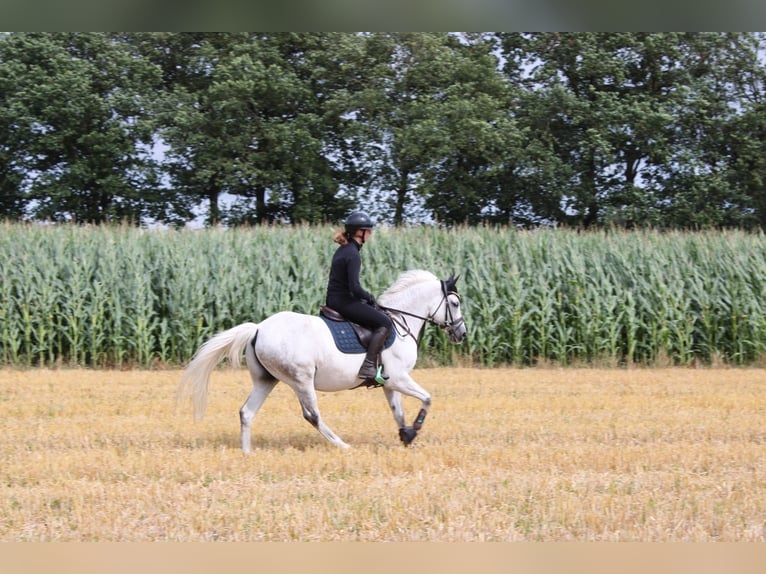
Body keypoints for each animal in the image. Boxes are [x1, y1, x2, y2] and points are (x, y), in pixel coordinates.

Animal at [178, 270, 467, 451]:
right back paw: (342, 445)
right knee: (312, 415)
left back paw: (246, 453)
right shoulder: (398, 378)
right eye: (454, 303)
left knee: (247, 412)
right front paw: (414, 431)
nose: (462, 334)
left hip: (265, 380)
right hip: (302, 379)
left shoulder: (389, 382)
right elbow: (427, 398)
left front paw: (407, 437)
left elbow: (398, 412)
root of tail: (258, 328)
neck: (401, 320)